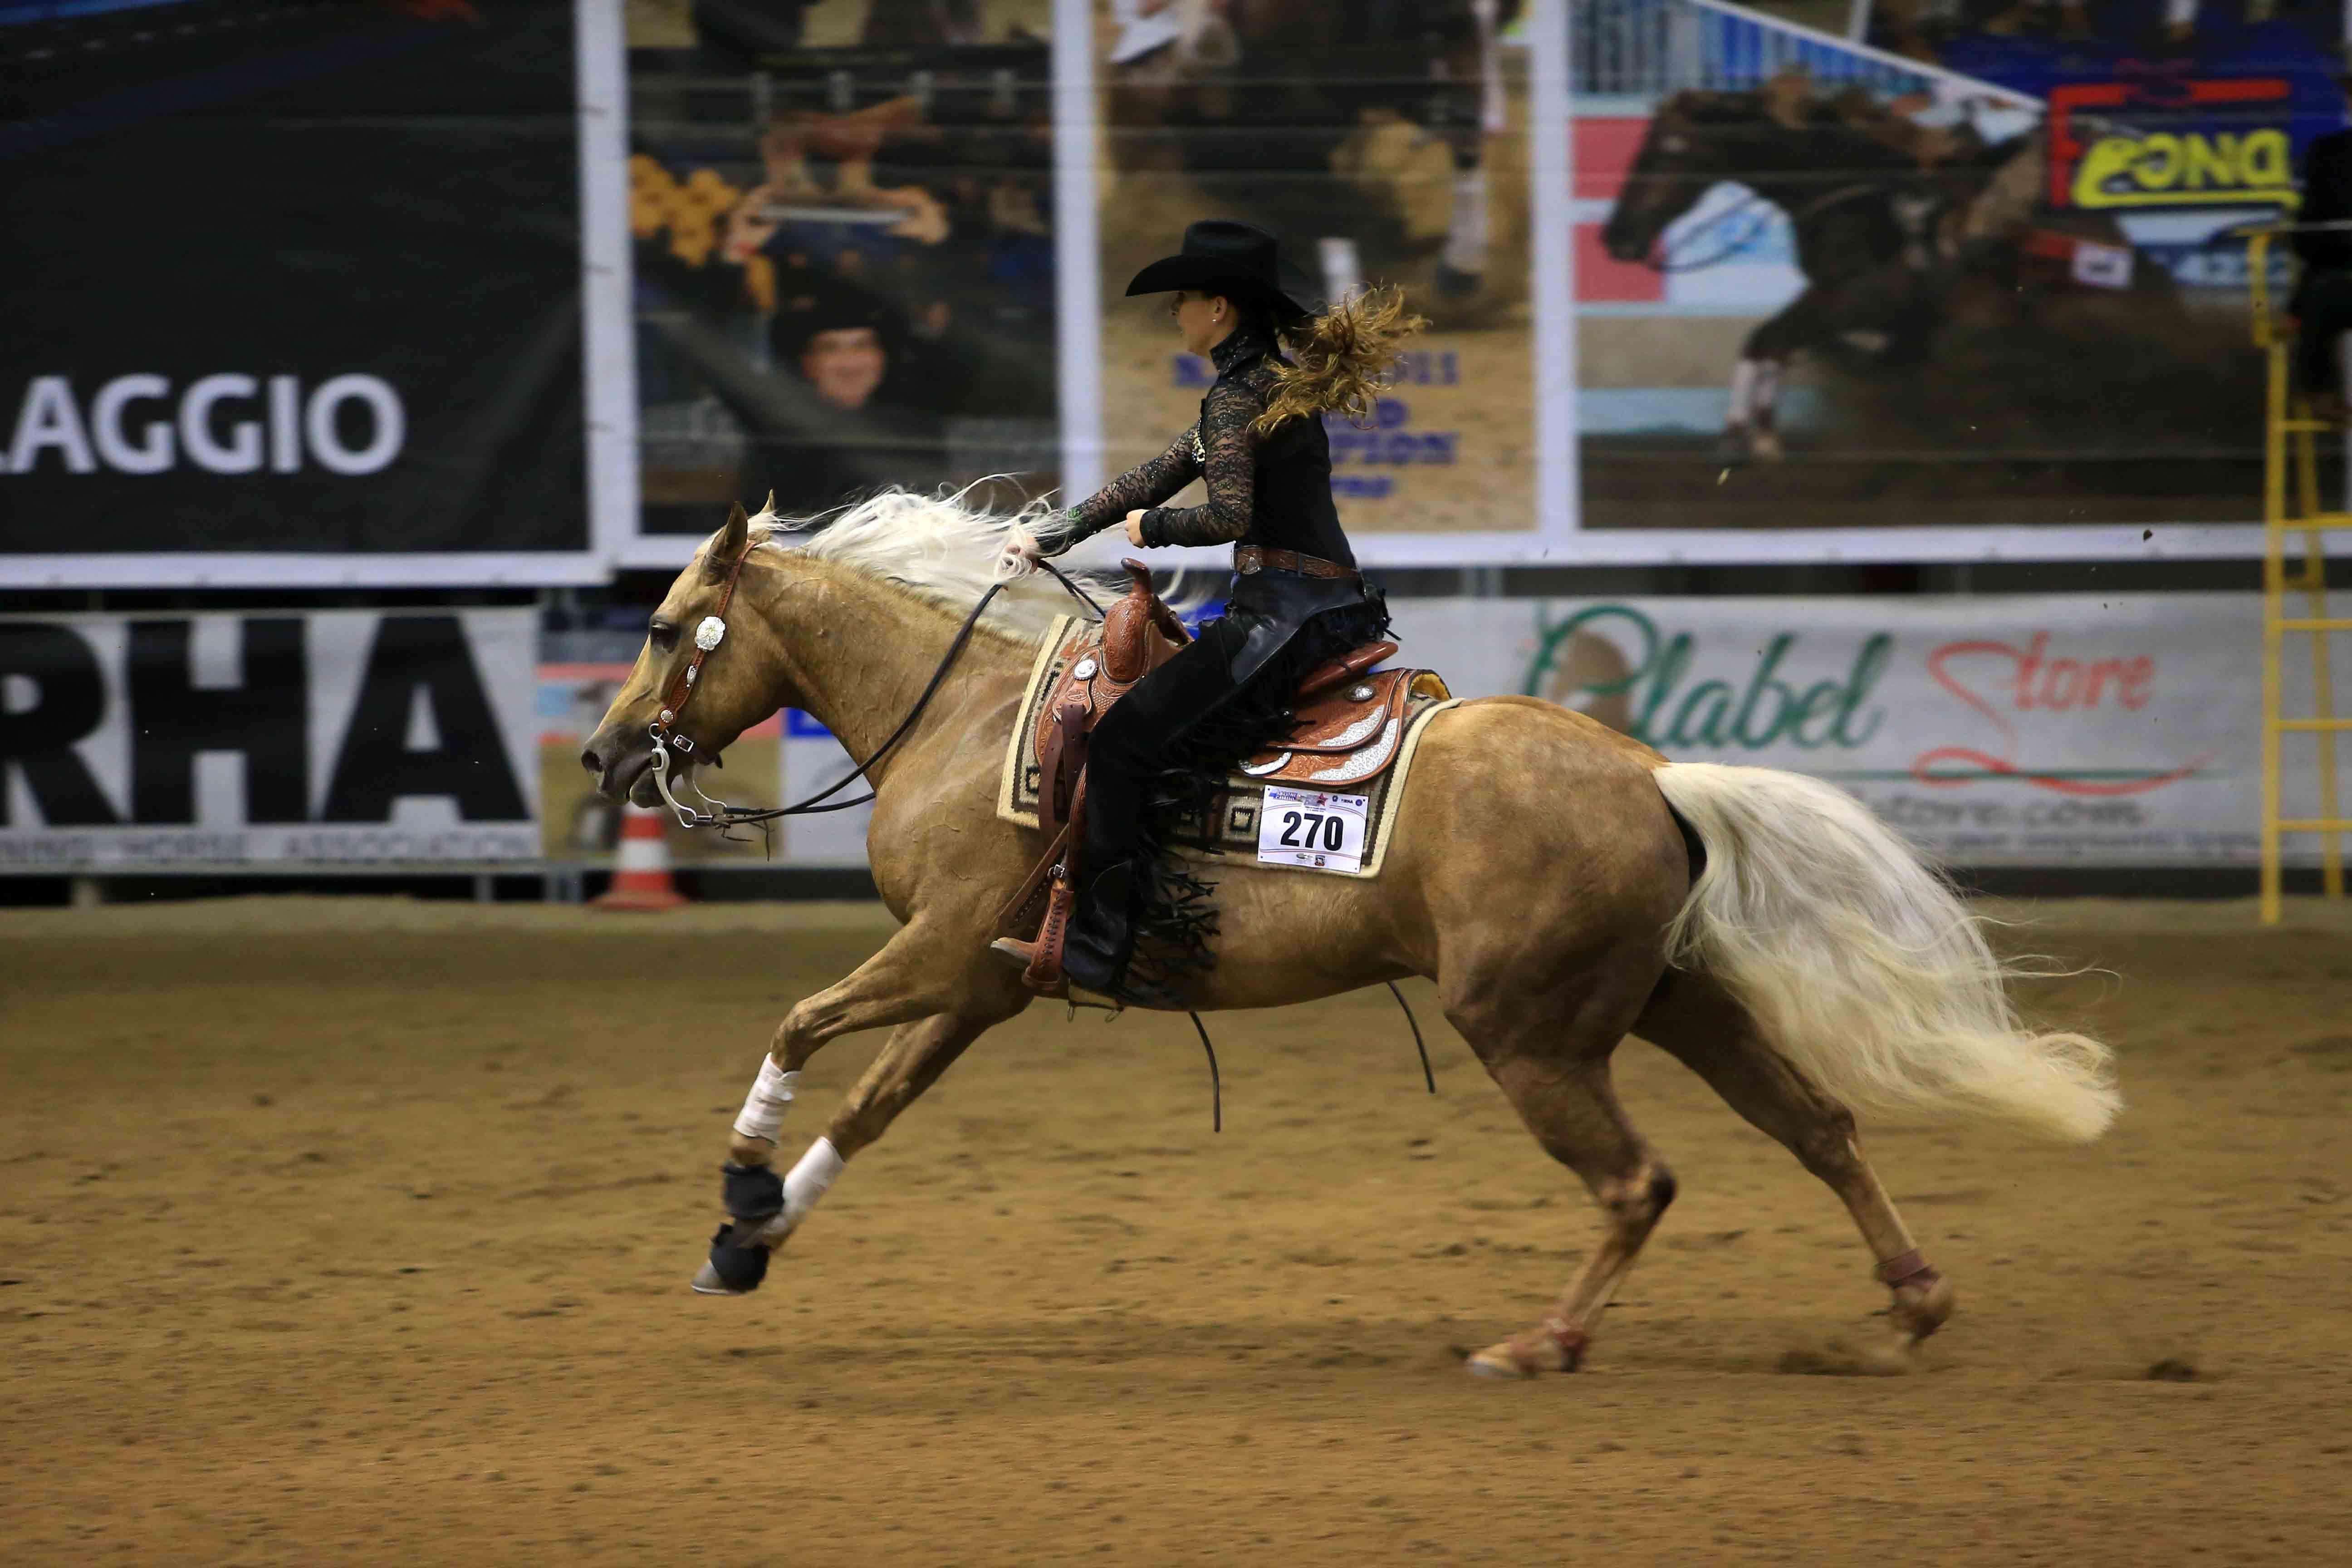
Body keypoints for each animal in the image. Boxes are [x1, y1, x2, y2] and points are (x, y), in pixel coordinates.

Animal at [578, 490, 2121, 1377]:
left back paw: (1542, 1344)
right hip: (1675, 1001)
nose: (600, 760)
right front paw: (751, 1243)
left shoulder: (944, 954)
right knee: (1819, 1128)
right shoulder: (985, 983)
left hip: (1532, 1033)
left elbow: (799, 1028)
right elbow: (875, 1107)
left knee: (1640, 1182)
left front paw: (738, 1193)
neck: (962, 718)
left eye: (662, 628)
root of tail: (1652, 775)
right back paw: (1911, 1305)